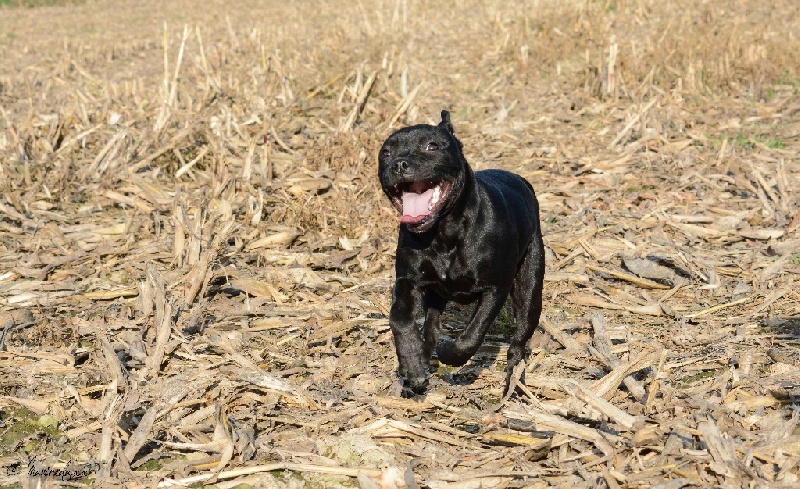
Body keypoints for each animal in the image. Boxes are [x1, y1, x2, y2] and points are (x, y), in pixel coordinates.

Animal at [380, 110, 544, 396]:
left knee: (518, 342)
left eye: (432, 146)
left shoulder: (495, 288)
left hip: (530, 289)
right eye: (386, 153)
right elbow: (399, 319)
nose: (399, 164)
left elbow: (473, 333)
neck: (444, 232)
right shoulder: (408, 282)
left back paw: (515, 386)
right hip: (436, 294)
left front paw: (450, 352)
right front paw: (412, 365)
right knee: (431, 325)